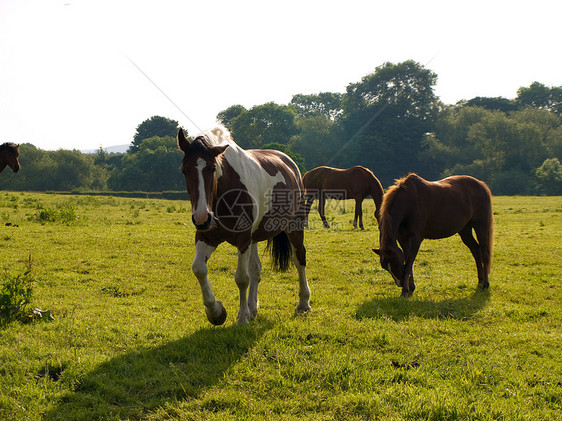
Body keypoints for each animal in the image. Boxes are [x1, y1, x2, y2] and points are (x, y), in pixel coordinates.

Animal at [177, 124, 310, 324]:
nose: (201, 217)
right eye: (184, 170)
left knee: (299, 259)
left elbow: (241, 278)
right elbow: (199, 269)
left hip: (294, 226)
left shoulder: (243, 238)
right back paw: (252, 308)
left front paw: (241, 318)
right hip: (254, 237)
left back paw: (303, 304)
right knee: (256, 268)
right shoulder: (206, 237)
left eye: (212, 168)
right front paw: (216, 312)